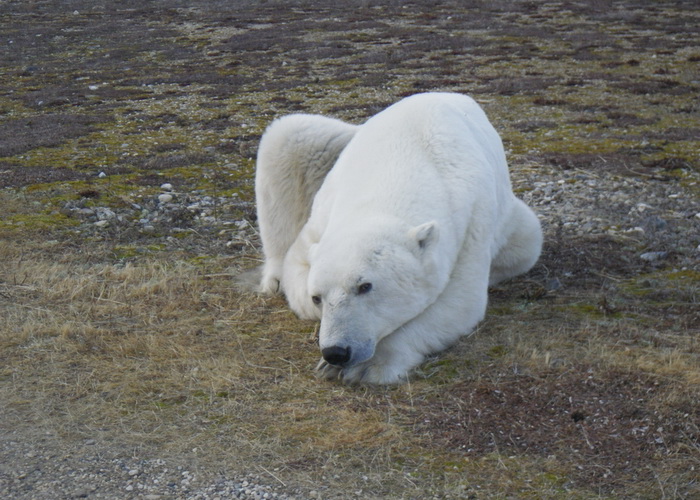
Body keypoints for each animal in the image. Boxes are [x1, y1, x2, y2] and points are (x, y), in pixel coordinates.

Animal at [255, 92, 542, 385]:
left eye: (365, 286)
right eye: (317, 297)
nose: (336, 352)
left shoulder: (472, 223)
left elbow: (459, 301)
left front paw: (368, 365)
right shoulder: (322, 218)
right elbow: (296, 266)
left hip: (510, 224)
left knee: (526, 242)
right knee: (289, 136)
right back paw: (274, 280)